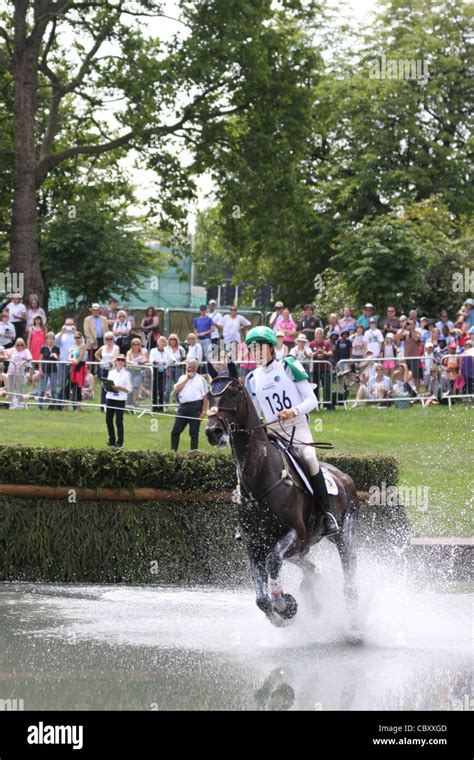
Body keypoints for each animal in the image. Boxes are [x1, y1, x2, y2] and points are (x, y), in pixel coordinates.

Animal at [205, 368, 360, 628]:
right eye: (208, 395)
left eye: (234, 392)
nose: (213, 432)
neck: (259, 482)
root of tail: (345, 477)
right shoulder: (254, 545)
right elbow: (261, 597)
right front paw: (282, 611)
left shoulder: (296, 534)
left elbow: (273, 562)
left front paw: (284, 604)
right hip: (303, 549)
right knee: (310, 569)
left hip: (343, 534)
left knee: (349, 569)